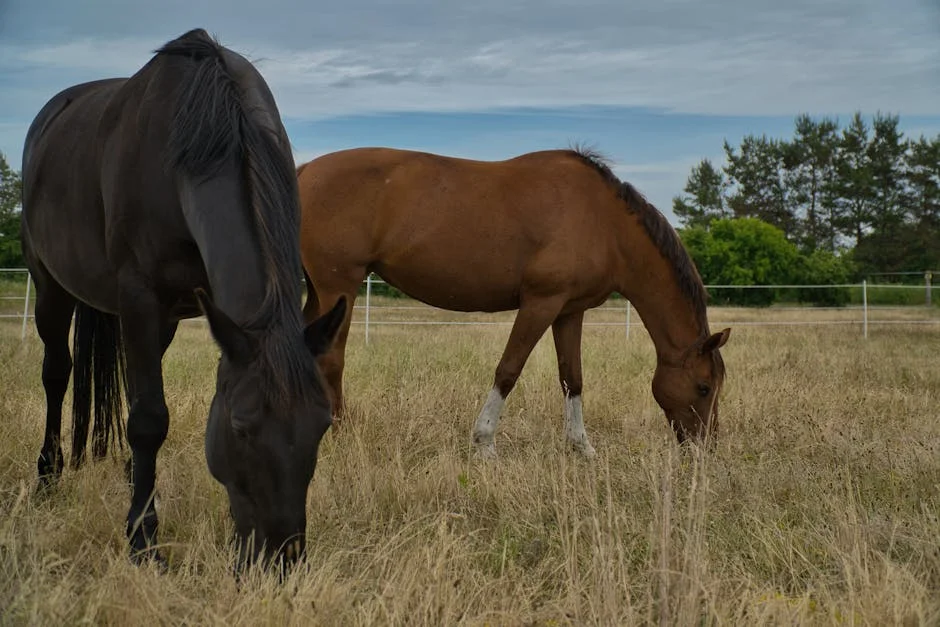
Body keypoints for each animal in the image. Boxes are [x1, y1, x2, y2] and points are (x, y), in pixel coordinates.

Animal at [20, 29, 346, 572]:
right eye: (240, 427)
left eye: (322, 425)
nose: (279, 560)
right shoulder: (139, 297)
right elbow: (150, 419)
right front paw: (142, 539)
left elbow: (144, 406)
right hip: (50, 287)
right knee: (57, 373)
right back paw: (49, 475)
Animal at [296, 147, 730, 457]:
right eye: (704, 387)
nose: (704, 449)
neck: (604, 223)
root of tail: (305, 171)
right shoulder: (541, 303)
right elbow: (508, 370)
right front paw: (484, 443)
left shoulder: (570, 311)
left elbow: (572, 378)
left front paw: (582, 448)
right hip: (339, 287)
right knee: (332, 359)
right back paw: (340, 433)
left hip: (319, 293)